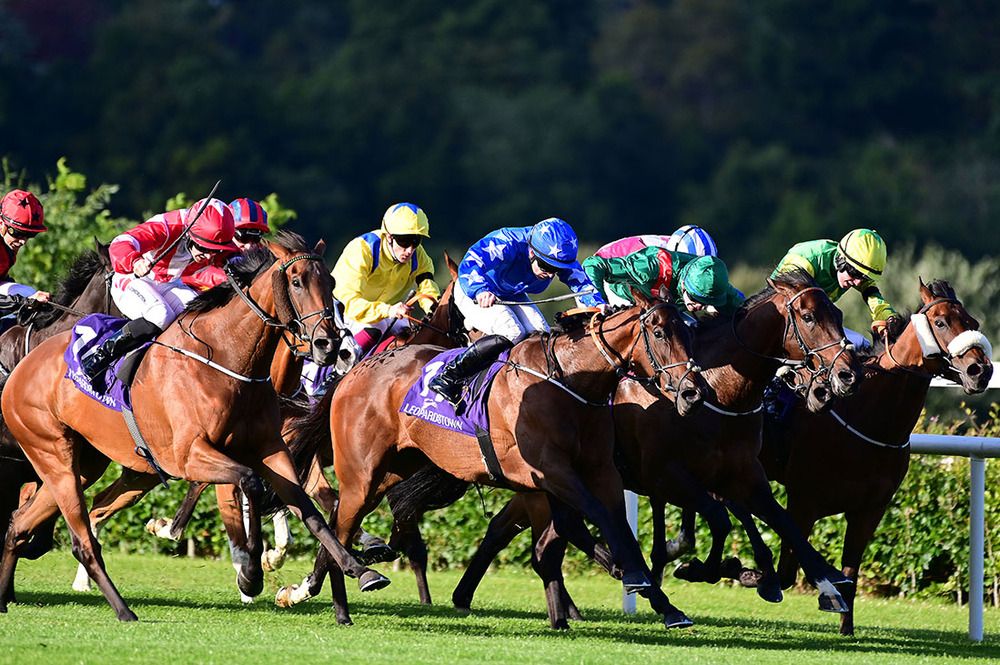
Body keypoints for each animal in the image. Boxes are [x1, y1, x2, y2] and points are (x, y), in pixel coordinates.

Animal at [0, 231, 390, 620]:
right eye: (296, 282)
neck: (227, 359)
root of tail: (23, 368)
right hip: (54, 455)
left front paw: (359, 568)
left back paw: (7, 595)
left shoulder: (271, 449)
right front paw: (250, 572)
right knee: (77, 536)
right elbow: (250, 487)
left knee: (21, 522)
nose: (330, 345)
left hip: (81, 465)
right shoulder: (190, 455)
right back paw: (122, 609)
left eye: (332, 283)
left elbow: (307, 509)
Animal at [448, 268, 868, 624]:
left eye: (837, 313)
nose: (847, 375)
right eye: (809, 318)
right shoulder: (664, 476)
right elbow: (719, 519)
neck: (719, 394)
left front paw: (829, 583)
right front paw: (702, 568)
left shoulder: (742, 474)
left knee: (531, 529)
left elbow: (782, 523)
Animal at [764, 278, 992, 636]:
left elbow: (850, 574)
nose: (981, 370)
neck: (866, 416)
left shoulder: (869, 510)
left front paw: (846, 628)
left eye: (973, 323)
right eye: (941, 322)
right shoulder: (804, 501)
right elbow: (789, 568)